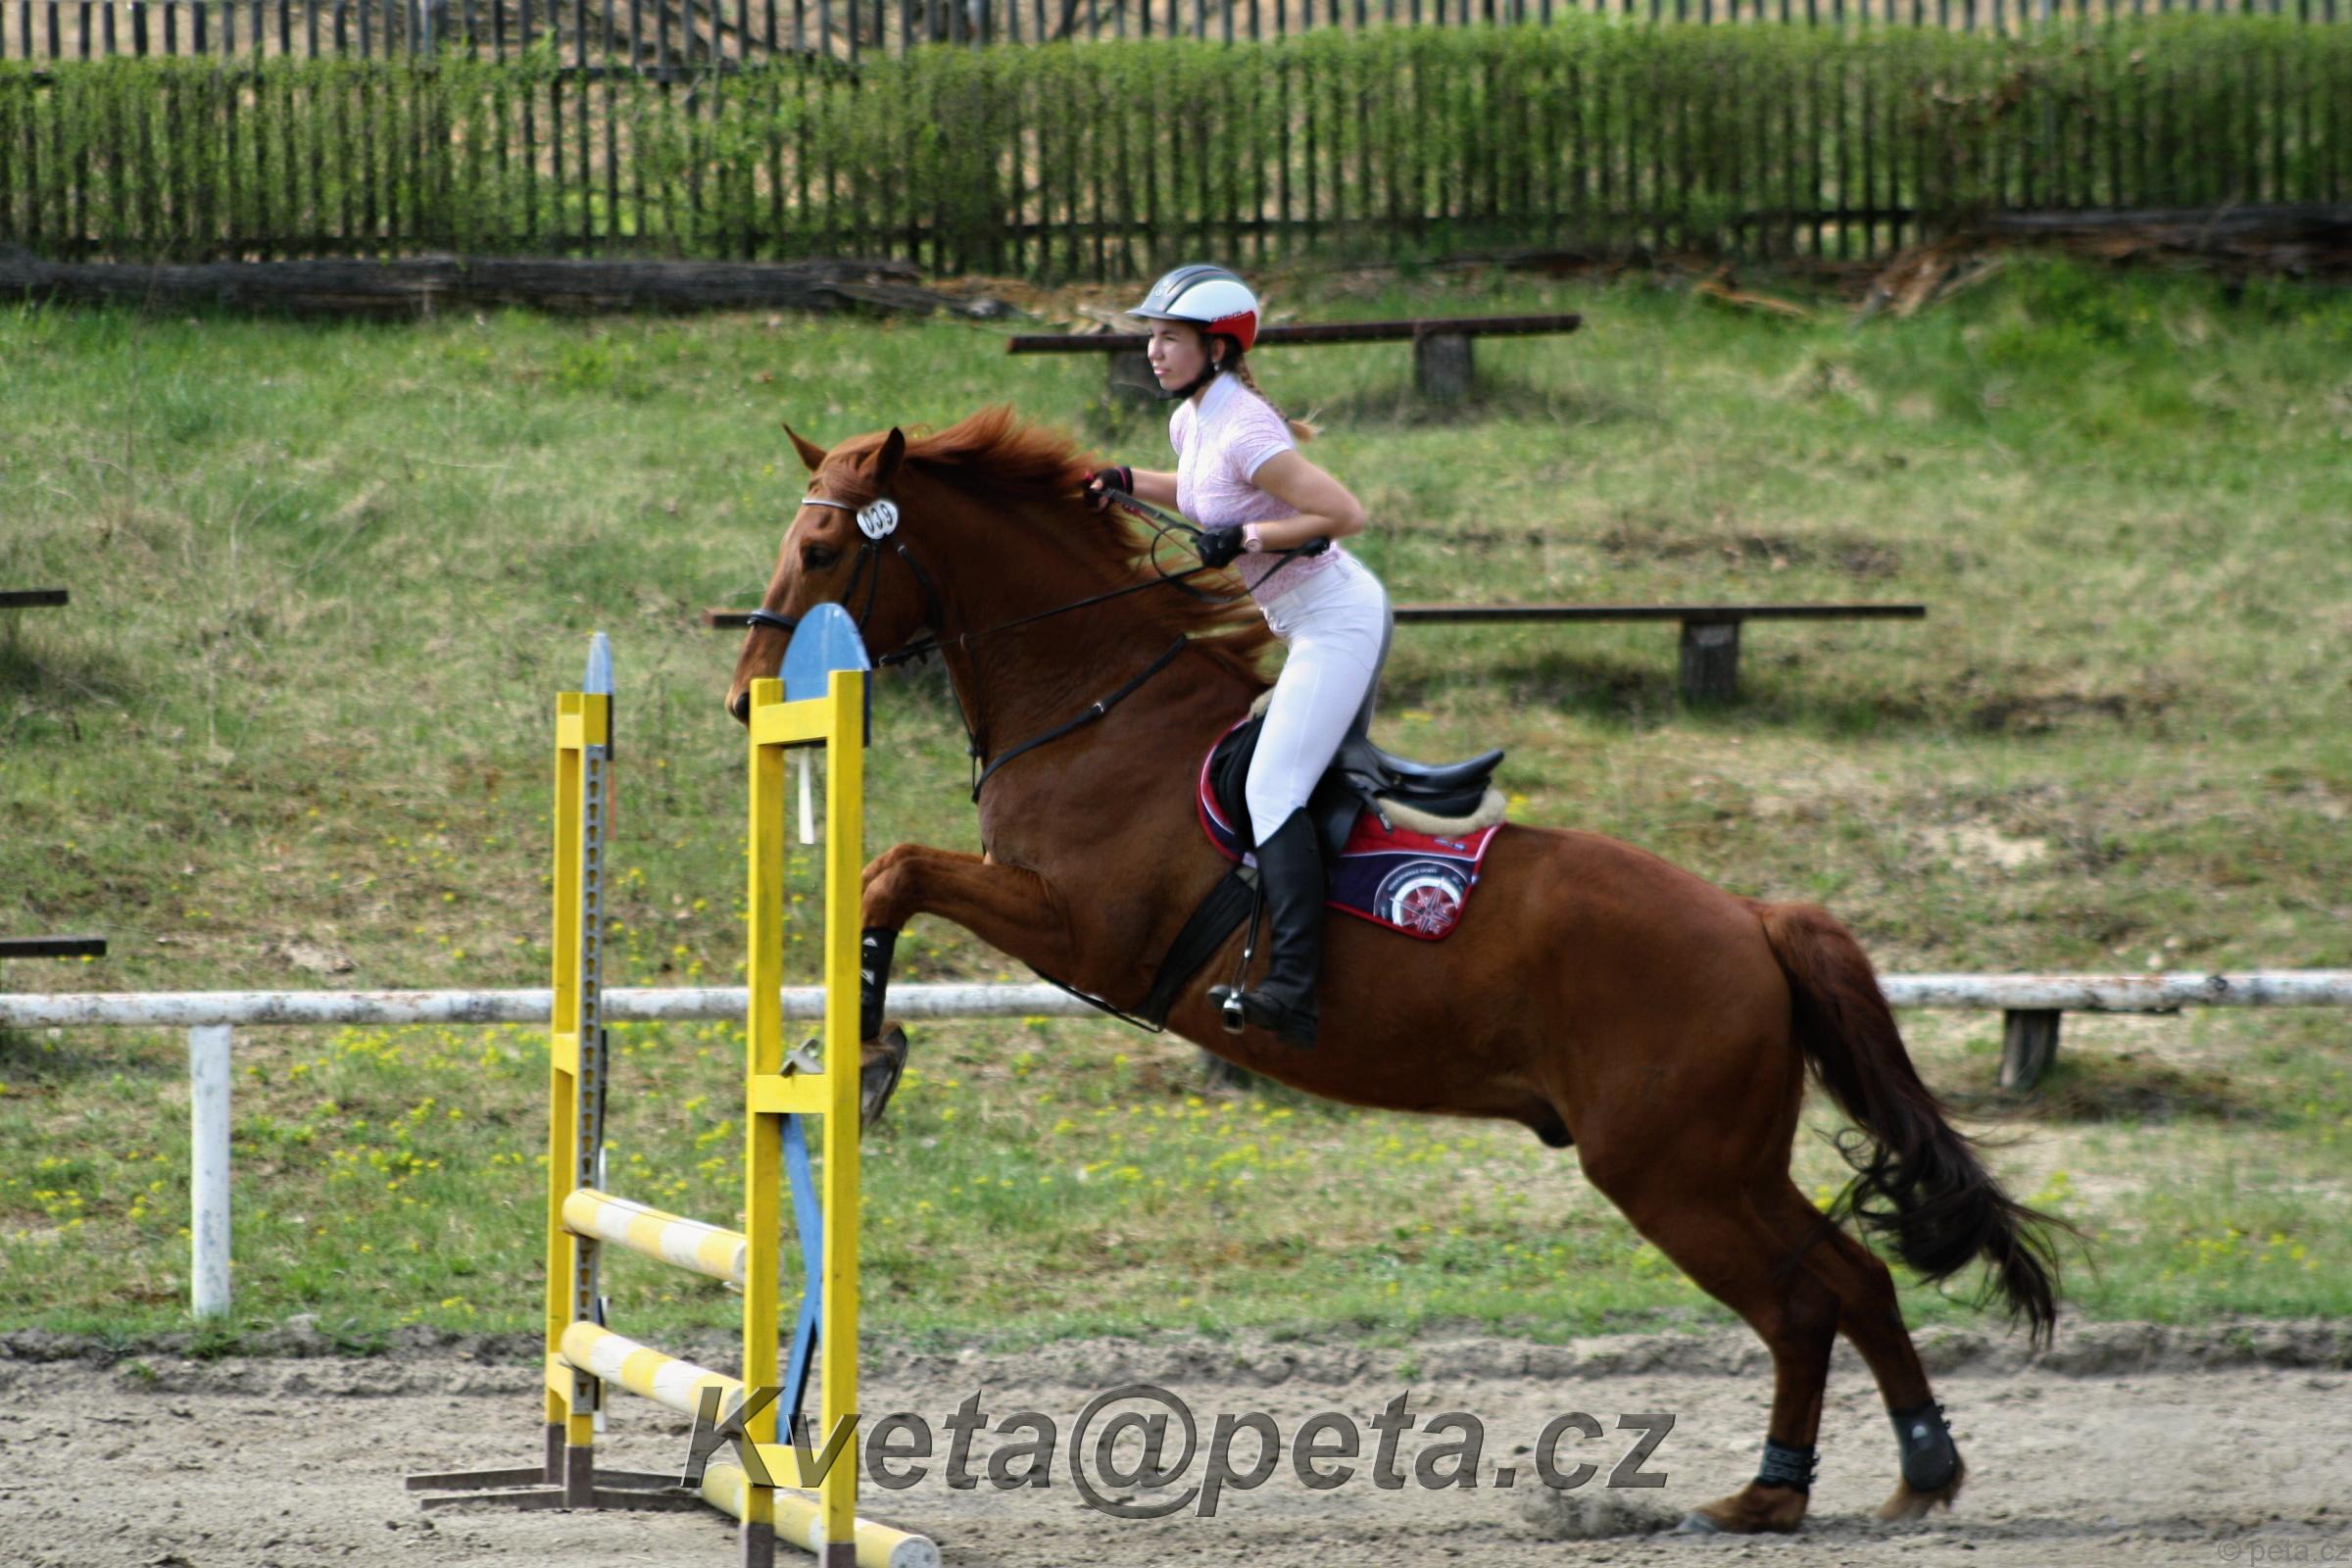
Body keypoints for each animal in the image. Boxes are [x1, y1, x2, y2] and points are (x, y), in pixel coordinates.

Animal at [725, 406, 2065, 1535]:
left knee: (1803, 1299)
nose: (746, 700)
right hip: (1721, 1161)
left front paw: (867, 1048)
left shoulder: (1083, 931)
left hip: (1673, 1168)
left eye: (825, 549)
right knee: (1855, 1277)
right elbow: (892, 871)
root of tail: (1753, 918)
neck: (1095, 705)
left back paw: (1772, 1494)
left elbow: (893, 870)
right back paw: (1916, 1467)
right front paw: (861, 1044)